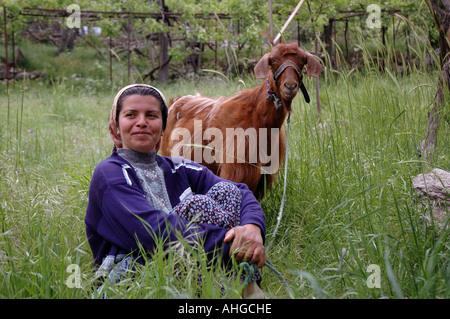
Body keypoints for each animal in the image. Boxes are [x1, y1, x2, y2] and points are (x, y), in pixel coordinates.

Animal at [160, 44, 322, 200]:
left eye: (302, 60)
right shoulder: (236, 169)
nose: (290, 86)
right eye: (273, 60)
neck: (257, 115)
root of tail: (176, 100)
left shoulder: (263, 174)